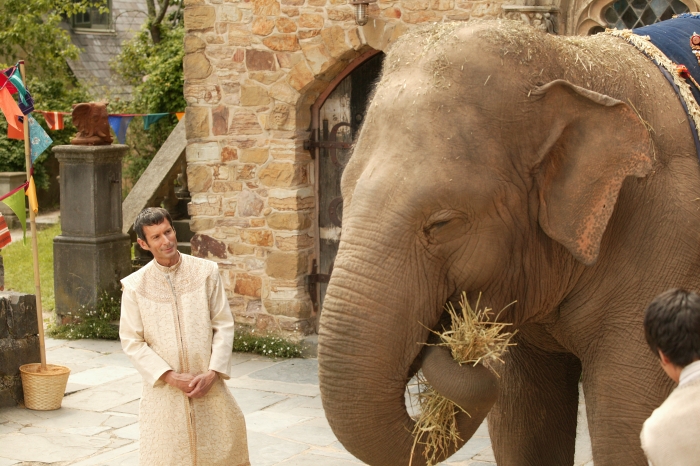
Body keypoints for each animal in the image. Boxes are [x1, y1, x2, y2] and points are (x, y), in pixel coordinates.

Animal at [317, 20, 700, 466]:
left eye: (443, 223)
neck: (575, 64)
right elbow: (521, 421)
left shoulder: (668, 234)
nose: (449, 333)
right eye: (343, 195)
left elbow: (627, 423)